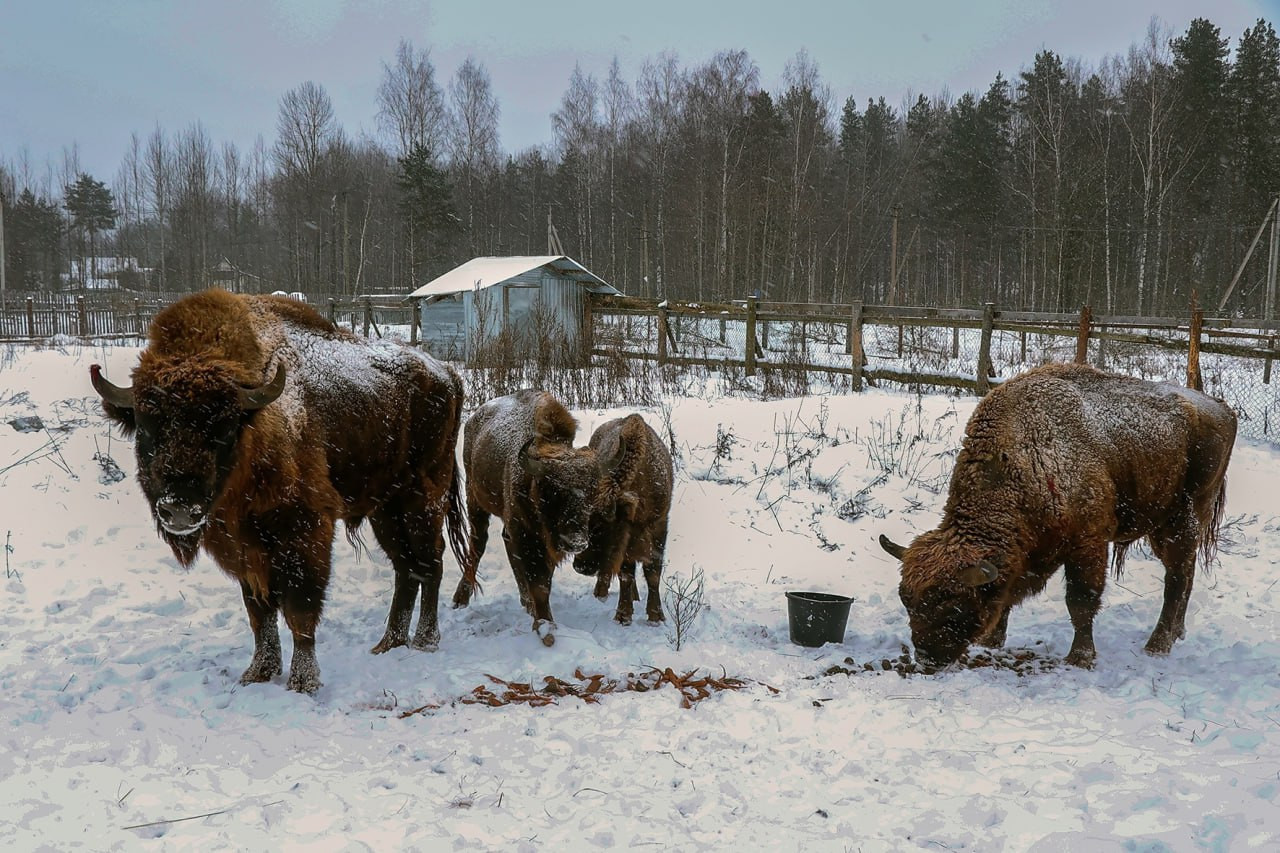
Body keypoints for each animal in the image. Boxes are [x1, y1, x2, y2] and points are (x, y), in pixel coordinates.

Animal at [91, 290, 471, 691]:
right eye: (148, 426)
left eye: (223, 427)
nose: (179, 508)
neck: (254, 426)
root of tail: (447, 374)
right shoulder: (245, 549)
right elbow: (260, 613)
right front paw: (259, 671)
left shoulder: (304, 534)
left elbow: (300, 609)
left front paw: (303, 680)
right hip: (385, 510)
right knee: (405, 567)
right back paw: (388, 643)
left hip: (423, 500)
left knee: (430, 562)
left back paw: (425, 640)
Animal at [450, 389, 624, 640]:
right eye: (553, 492)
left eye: (592, 491)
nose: (575, 541)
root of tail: (475, 418)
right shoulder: (528, 536)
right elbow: (539, 583)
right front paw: (544, 627)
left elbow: (542, 579)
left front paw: (538, 615)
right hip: (475, 500)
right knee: (477, 544)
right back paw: (460, 599)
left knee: (506, 544)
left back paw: (525, 602)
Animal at [570, 412, 670, 622]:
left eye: (601, 527)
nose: (580, 566)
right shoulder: (627, 539)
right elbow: (626, 574)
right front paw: (623, 615)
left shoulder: (659, 526)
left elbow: (653, 572)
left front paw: (656, 616)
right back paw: (601, 593)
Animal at [880, 361, 1228, 666]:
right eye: (906, 600)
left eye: (952, 604)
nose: (927, 657)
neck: (1023, 461)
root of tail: (1220, 407)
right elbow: (1008, 597)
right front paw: (991, 643)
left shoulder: (1087, 545)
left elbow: (1081, 601)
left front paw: (1081, 658)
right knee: (1185, 575)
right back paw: (1176, 634)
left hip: (1181, 519)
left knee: (1177, 578)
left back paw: (1158, 645)